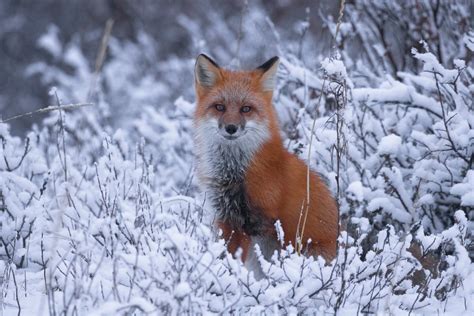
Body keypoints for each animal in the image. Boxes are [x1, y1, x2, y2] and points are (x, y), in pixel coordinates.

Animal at [193, 55, 336, 264]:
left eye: (246, 109)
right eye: (220, 107)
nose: (231, 128)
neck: (234, 172)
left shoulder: (257, 222)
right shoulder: (225, 217)